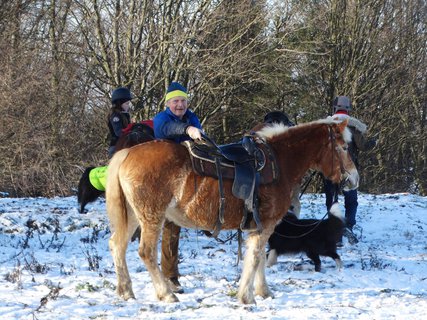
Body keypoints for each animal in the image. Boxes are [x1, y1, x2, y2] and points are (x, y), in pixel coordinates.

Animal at [106, 119, 358, 304]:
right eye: (344, 147)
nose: (354, 179)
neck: (279, 163)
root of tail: (128, 153)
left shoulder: (259, 227)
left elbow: (259, 257)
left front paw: (263, 292)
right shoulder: (265, 225)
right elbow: (255, 258)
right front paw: (247, 297)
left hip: (133, 216)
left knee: (117, 245)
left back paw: (125, 291)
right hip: (152, 217)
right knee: (146, 252)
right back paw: (166, 294)